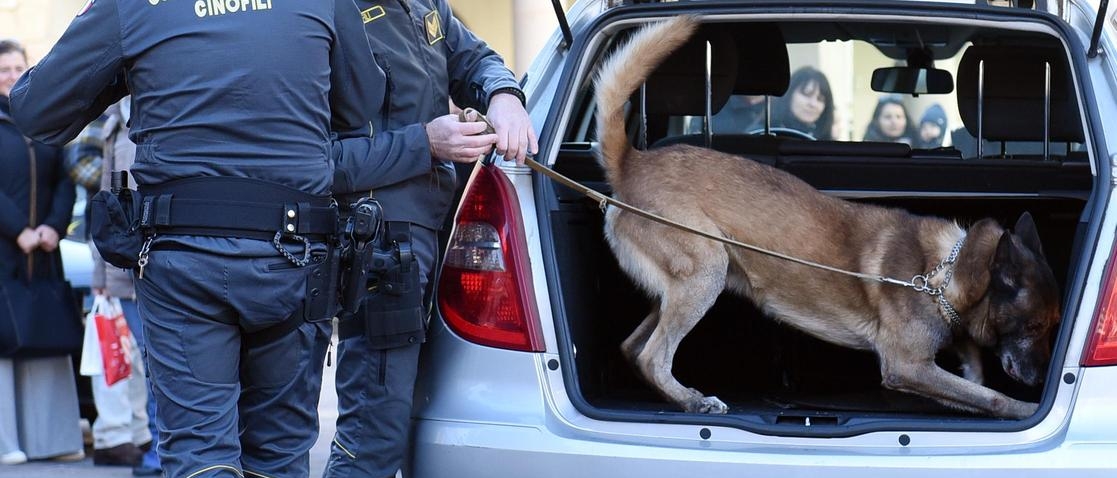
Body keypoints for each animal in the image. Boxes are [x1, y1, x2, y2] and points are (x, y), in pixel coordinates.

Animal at [594, 15, 1054, 417]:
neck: (941, 273)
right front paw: (1024, 407)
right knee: (653, 356)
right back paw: (692, 400)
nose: (1038, 382)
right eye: (1032, 328)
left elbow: (974, 373)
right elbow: (990, 395)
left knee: (633, 347)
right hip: (705, 273)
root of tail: (632, 163)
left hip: (685, 286)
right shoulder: (908, 366)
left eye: (1051, 326)